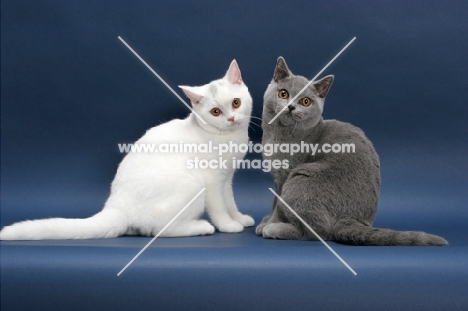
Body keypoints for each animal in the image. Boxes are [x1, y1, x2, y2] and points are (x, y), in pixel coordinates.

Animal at [0, 61, 254, 241]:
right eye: (215, 112)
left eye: (236, 103)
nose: (231, 118)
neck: (230, 137)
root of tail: (116, 205)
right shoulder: (212, 181)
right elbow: (219, 207)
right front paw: (228, 225)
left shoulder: (226, 179)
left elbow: (230, 201)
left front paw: (239, 218)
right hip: (192, 183)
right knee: (159, 229)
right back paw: (201, 227)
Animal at [256, 56, 446, 246]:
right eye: (283, 94)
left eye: (305, 101)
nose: (290, 107)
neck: (278, 134)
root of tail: (352, 220)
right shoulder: (277, 178)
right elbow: (274, 202)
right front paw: (266, 220)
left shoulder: (286, 174)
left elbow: (278, 206)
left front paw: (269, 223)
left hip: (301, 178)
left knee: (317, 232)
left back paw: (275, 229)